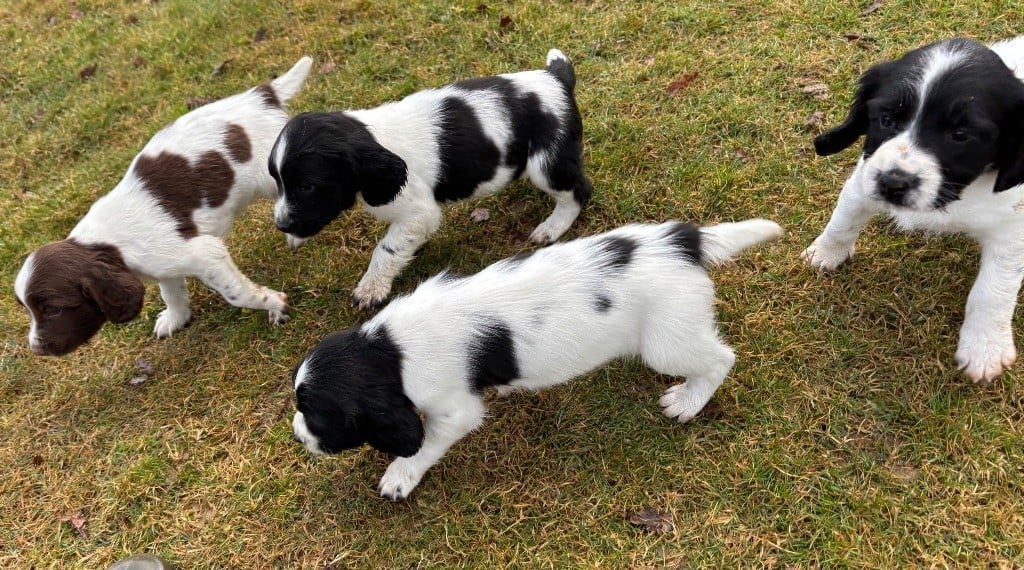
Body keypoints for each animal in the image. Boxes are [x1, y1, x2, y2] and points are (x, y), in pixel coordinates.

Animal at [14, 55, 311, 354]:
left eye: (53, 309)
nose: (36, 349)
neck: (109, 246)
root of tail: (260, 95)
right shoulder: (165, 266)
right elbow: (171, 292)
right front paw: (176, 319)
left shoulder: (204, 254)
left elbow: (236, 293)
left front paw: (275, 304)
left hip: (273, 176)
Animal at [270, 47, 593, 309]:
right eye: (277, 182)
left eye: (307, 186)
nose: (281, 225)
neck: (373, 137)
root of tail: (555, 78)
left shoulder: (419, 212)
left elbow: (386, 249)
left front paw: (371, 289)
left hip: (546, 164)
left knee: (578, 191)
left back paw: (551, 228)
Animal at [290, 217, 782, 497]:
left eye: (321, 417)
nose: (296, 437)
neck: (389, 350)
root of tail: (682, 241)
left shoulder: (455, 410)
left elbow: (425, 443)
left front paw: (400, 475)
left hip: (666, 342)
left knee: (721, 358)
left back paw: (688, 401)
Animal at [798, 35, 1024, 382]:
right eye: (886, 119)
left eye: (960, 135)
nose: (893, 183)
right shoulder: (866, 177)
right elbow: (843, 219)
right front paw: (825, 254)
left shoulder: (1011, 227)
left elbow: (993, 289)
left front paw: (985, 349)